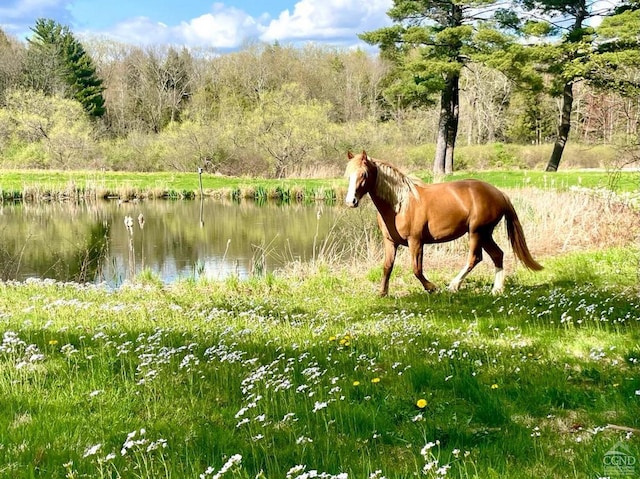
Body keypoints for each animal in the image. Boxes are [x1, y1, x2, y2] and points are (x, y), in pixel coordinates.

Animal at [342, 153, 544, 296]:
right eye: (347, 176)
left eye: (364, 174)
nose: (350, 202)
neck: (400, 204)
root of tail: (499, 194)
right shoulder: (390, 242)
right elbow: (387, 267)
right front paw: (382, 293)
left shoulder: (416, 241)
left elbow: (416, 269)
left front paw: (432, 287)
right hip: (485, 234)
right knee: (497, 255)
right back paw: (496, 290)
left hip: (476, 232)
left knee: (475, 258)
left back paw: (454, 285)